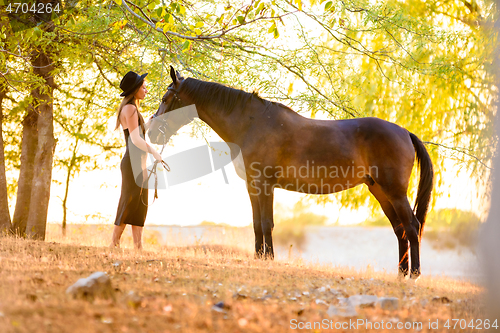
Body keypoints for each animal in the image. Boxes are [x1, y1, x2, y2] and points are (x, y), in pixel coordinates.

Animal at [148, 65, 434, 278]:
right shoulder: (253, 185)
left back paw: (414, 274)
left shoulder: (264, 183)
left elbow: (266, 222)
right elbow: (257, 223)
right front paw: (259, 257)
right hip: (380, 191)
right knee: (400, 229)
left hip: (394, 192)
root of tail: (405, 132)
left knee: (412, 226)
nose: (150, 133)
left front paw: (269, 258)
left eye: (165, 99)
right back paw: (400, 274)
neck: (251, 124)